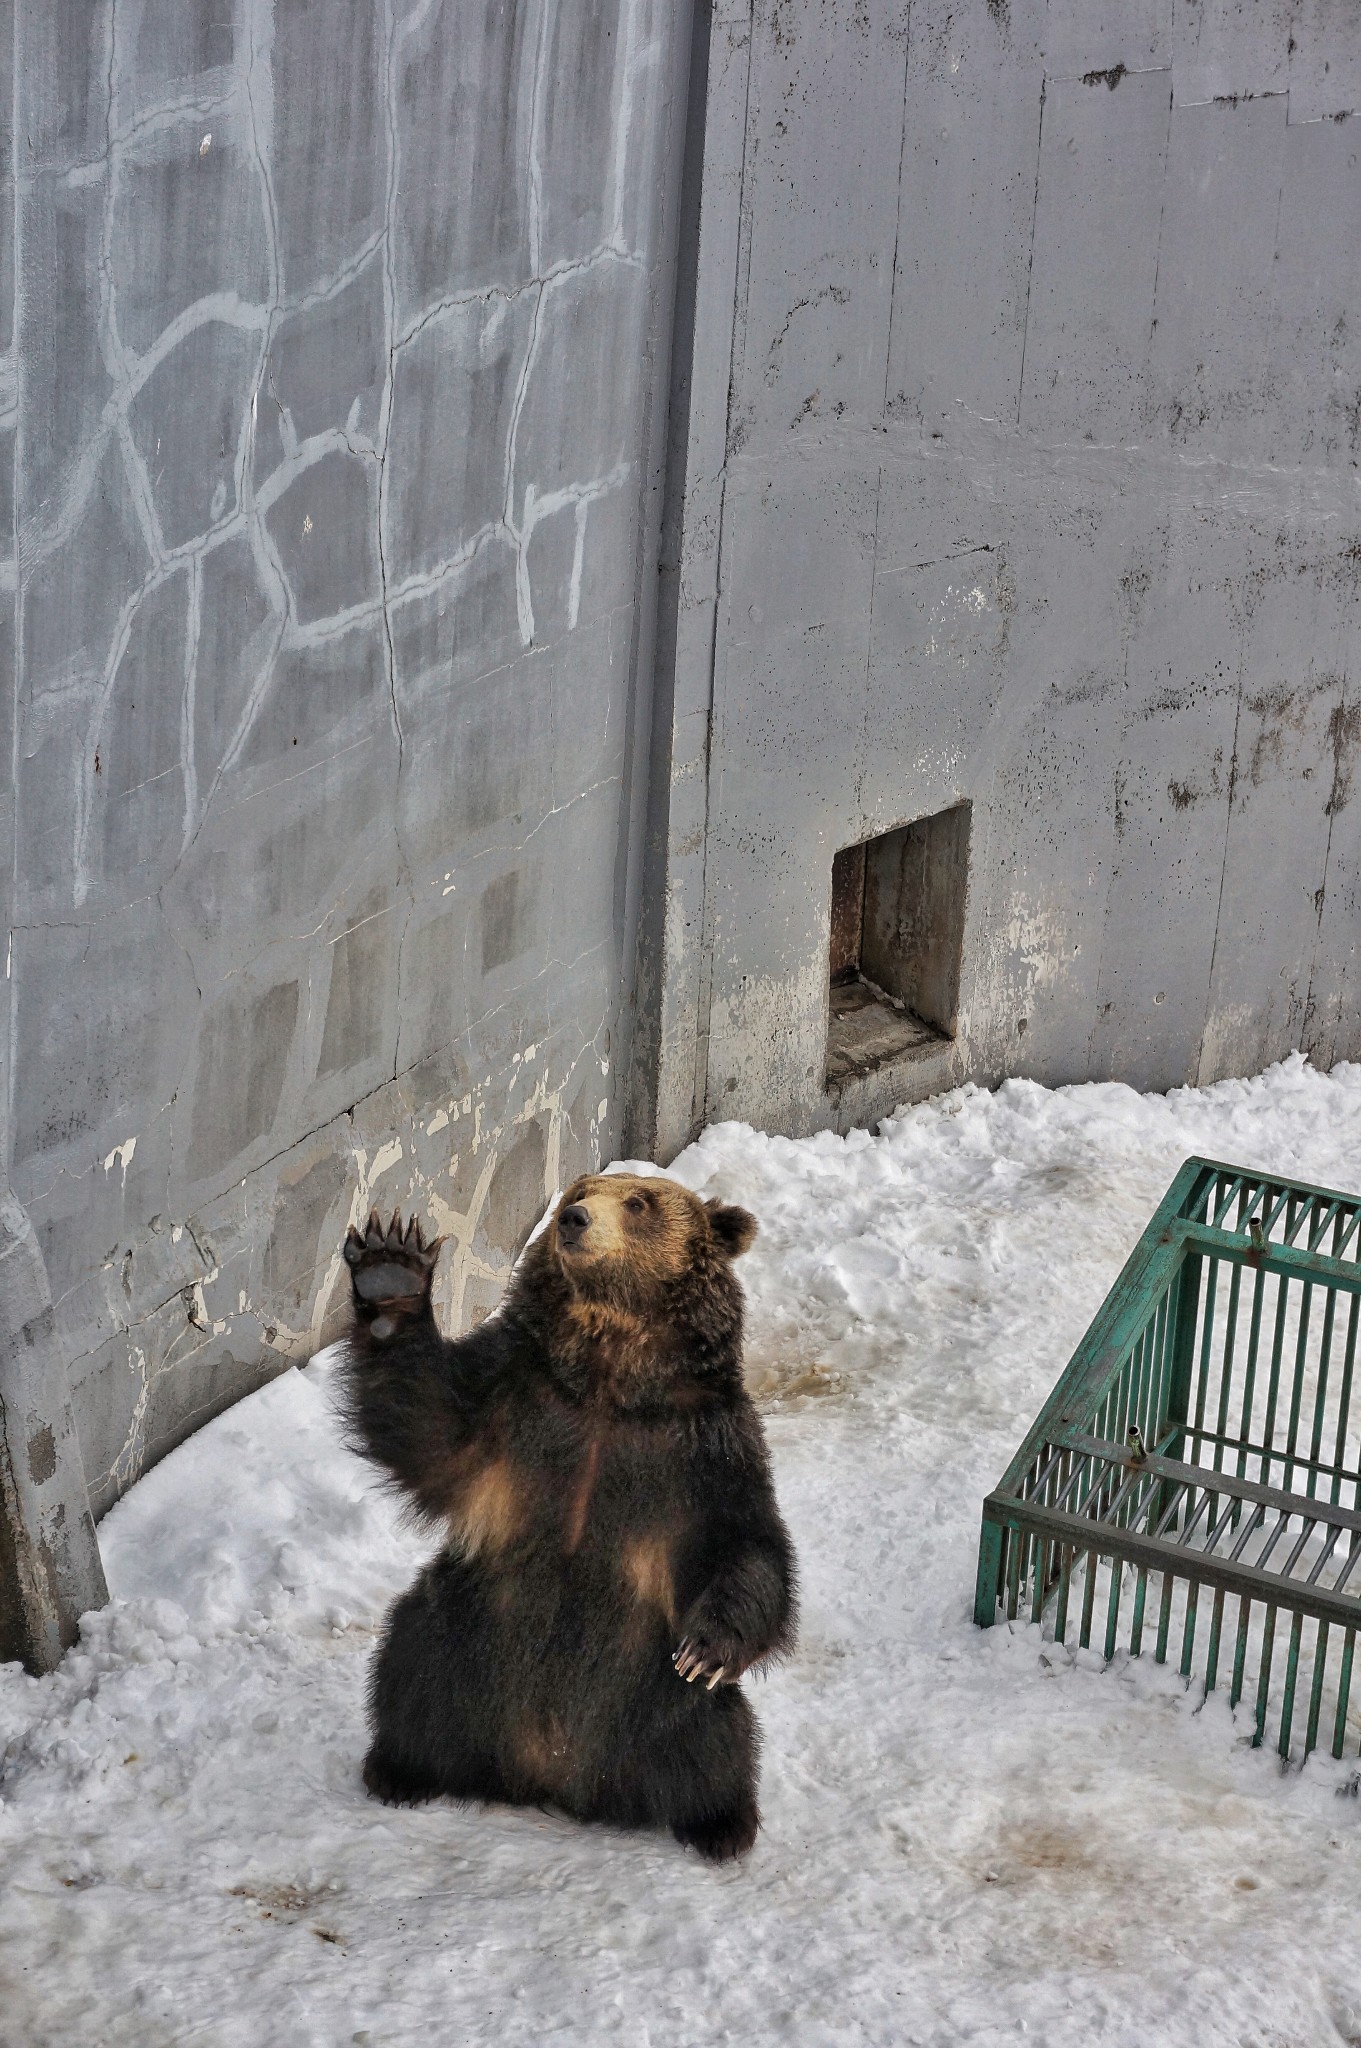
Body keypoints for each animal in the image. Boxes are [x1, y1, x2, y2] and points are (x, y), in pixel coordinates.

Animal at [337, 1171, 798, 1859]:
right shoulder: (516, 1395)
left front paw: (707, 1648)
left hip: (648, 1692)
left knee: (712, 1739)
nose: (574, 1220)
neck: (610, 1376)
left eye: (638, 1201)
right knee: (411, 1668)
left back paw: (721, 1823)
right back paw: (400, 1768)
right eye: (579, 1188)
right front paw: (390, 1272)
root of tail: (550, 1779)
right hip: (467, 1637)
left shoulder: (706, 1448)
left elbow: (747, 1545)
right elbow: (427, 1421)